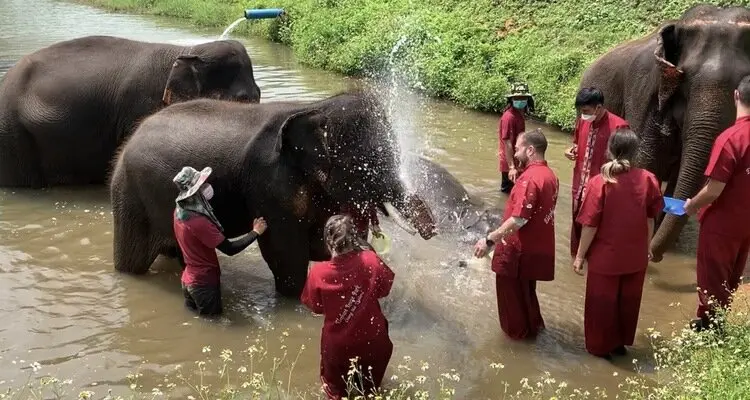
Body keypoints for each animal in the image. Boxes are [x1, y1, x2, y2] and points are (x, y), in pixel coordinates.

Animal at [109, 90, 437, 297]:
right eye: (367, 165)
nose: (432, 230)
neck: (317, 106)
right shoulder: (270, 183)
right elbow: (284, 252)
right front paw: (294, 300)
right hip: (130, 196)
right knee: (132, 260)